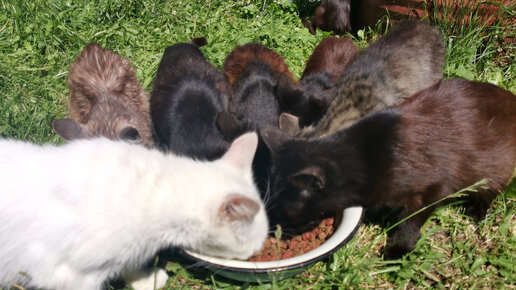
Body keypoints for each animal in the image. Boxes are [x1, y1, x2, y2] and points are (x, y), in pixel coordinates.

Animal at [262, 79, 516, 258]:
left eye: (286, 212)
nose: (273, 231)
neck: (369, 156)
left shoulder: (433, 190)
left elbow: (410, 222)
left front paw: (397, 250)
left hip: (495, 169)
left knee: (489, 191)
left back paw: (477, 212)